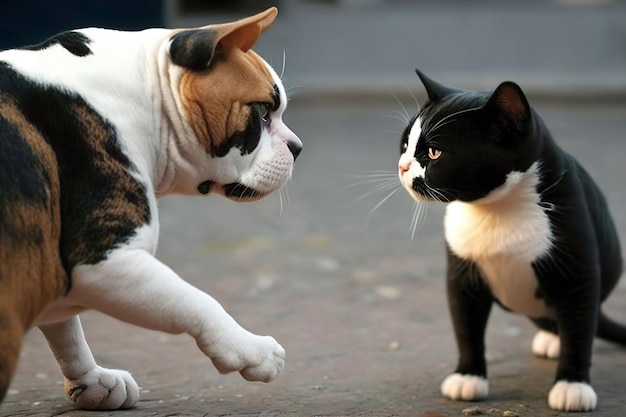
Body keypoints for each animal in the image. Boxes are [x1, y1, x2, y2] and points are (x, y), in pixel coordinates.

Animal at [0, 6, 302, 410]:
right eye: (263, 114)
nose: (298, 147)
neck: (145, 93)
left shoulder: (43, 255)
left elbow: (66, 331)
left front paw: (90, 378)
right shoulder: (107, 261)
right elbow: (196, 300)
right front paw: (248, 350)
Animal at [398, 70, 624, 412]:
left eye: (434, 153)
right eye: (404, 145)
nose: (401, 166)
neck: (495, 210)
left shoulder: (577, 267)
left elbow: (580, 328)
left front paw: (572, 385)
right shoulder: (461, 275)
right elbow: (466, 326)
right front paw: (467, 376)